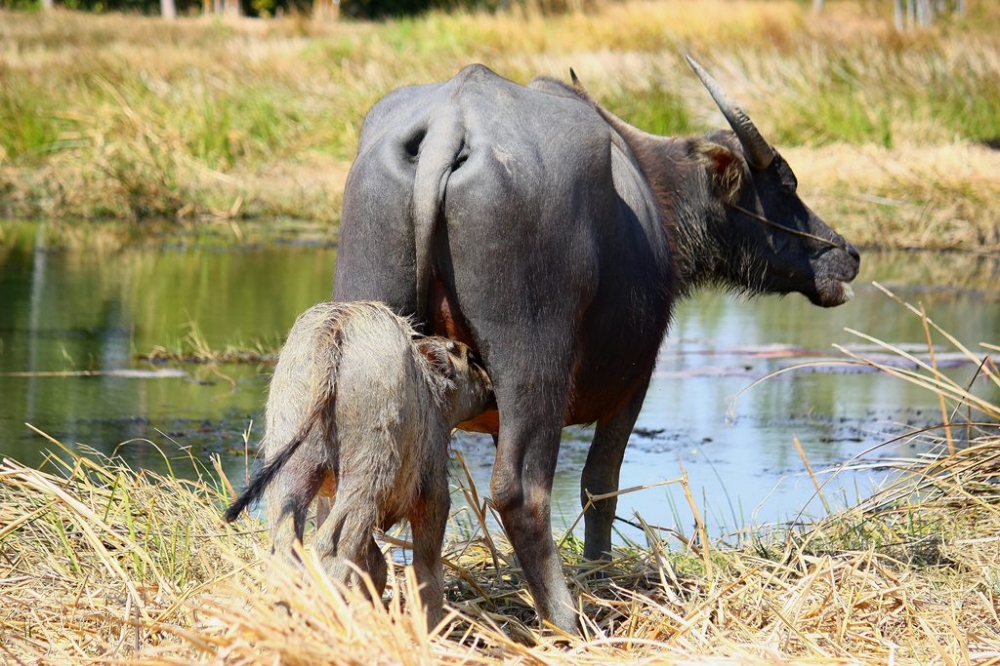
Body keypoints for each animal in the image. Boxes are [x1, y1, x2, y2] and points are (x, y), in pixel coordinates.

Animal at [225, 300, 494, 624]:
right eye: (472, 359)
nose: (492, 386)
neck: (431, 392)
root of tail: (335, 325)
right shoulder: (433, 493)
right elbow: (425, 574)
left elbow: (373, 565)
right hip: (366, 476)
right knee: (332, 547)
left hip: (293, 469)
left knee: (287, 546)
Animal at [334, 55, 860, 628]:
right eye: (786, 185)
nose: (847, 253)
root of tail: (452, 123)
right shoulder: (636, 381)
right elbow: (600, 483)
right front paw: (600, 571)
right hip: (533, 362)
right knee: (521, 492)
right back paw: (567, 619)